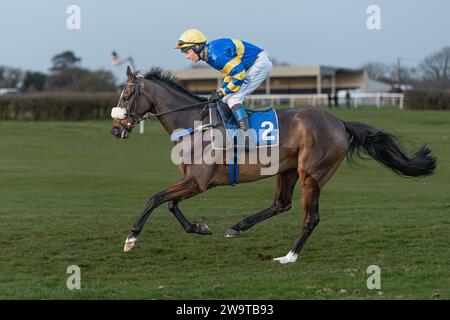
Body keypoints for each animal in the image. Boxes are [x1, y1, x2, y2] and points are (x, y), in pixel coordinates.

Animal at [110, 66, 436, 264]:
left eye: (126, 95)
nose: (115, 129)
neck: (194, 122)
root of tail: (339, 122)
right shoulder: (192, 181)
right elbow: (170, 204)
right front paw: (199, 228)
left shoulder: (199, 182)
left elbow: (155, 198)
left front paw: (131, 237)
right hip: (287, 170)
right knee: (281, 203)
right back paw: (237, 227)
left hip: (311, 173)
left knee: (310, 217)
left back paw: (289, 256)